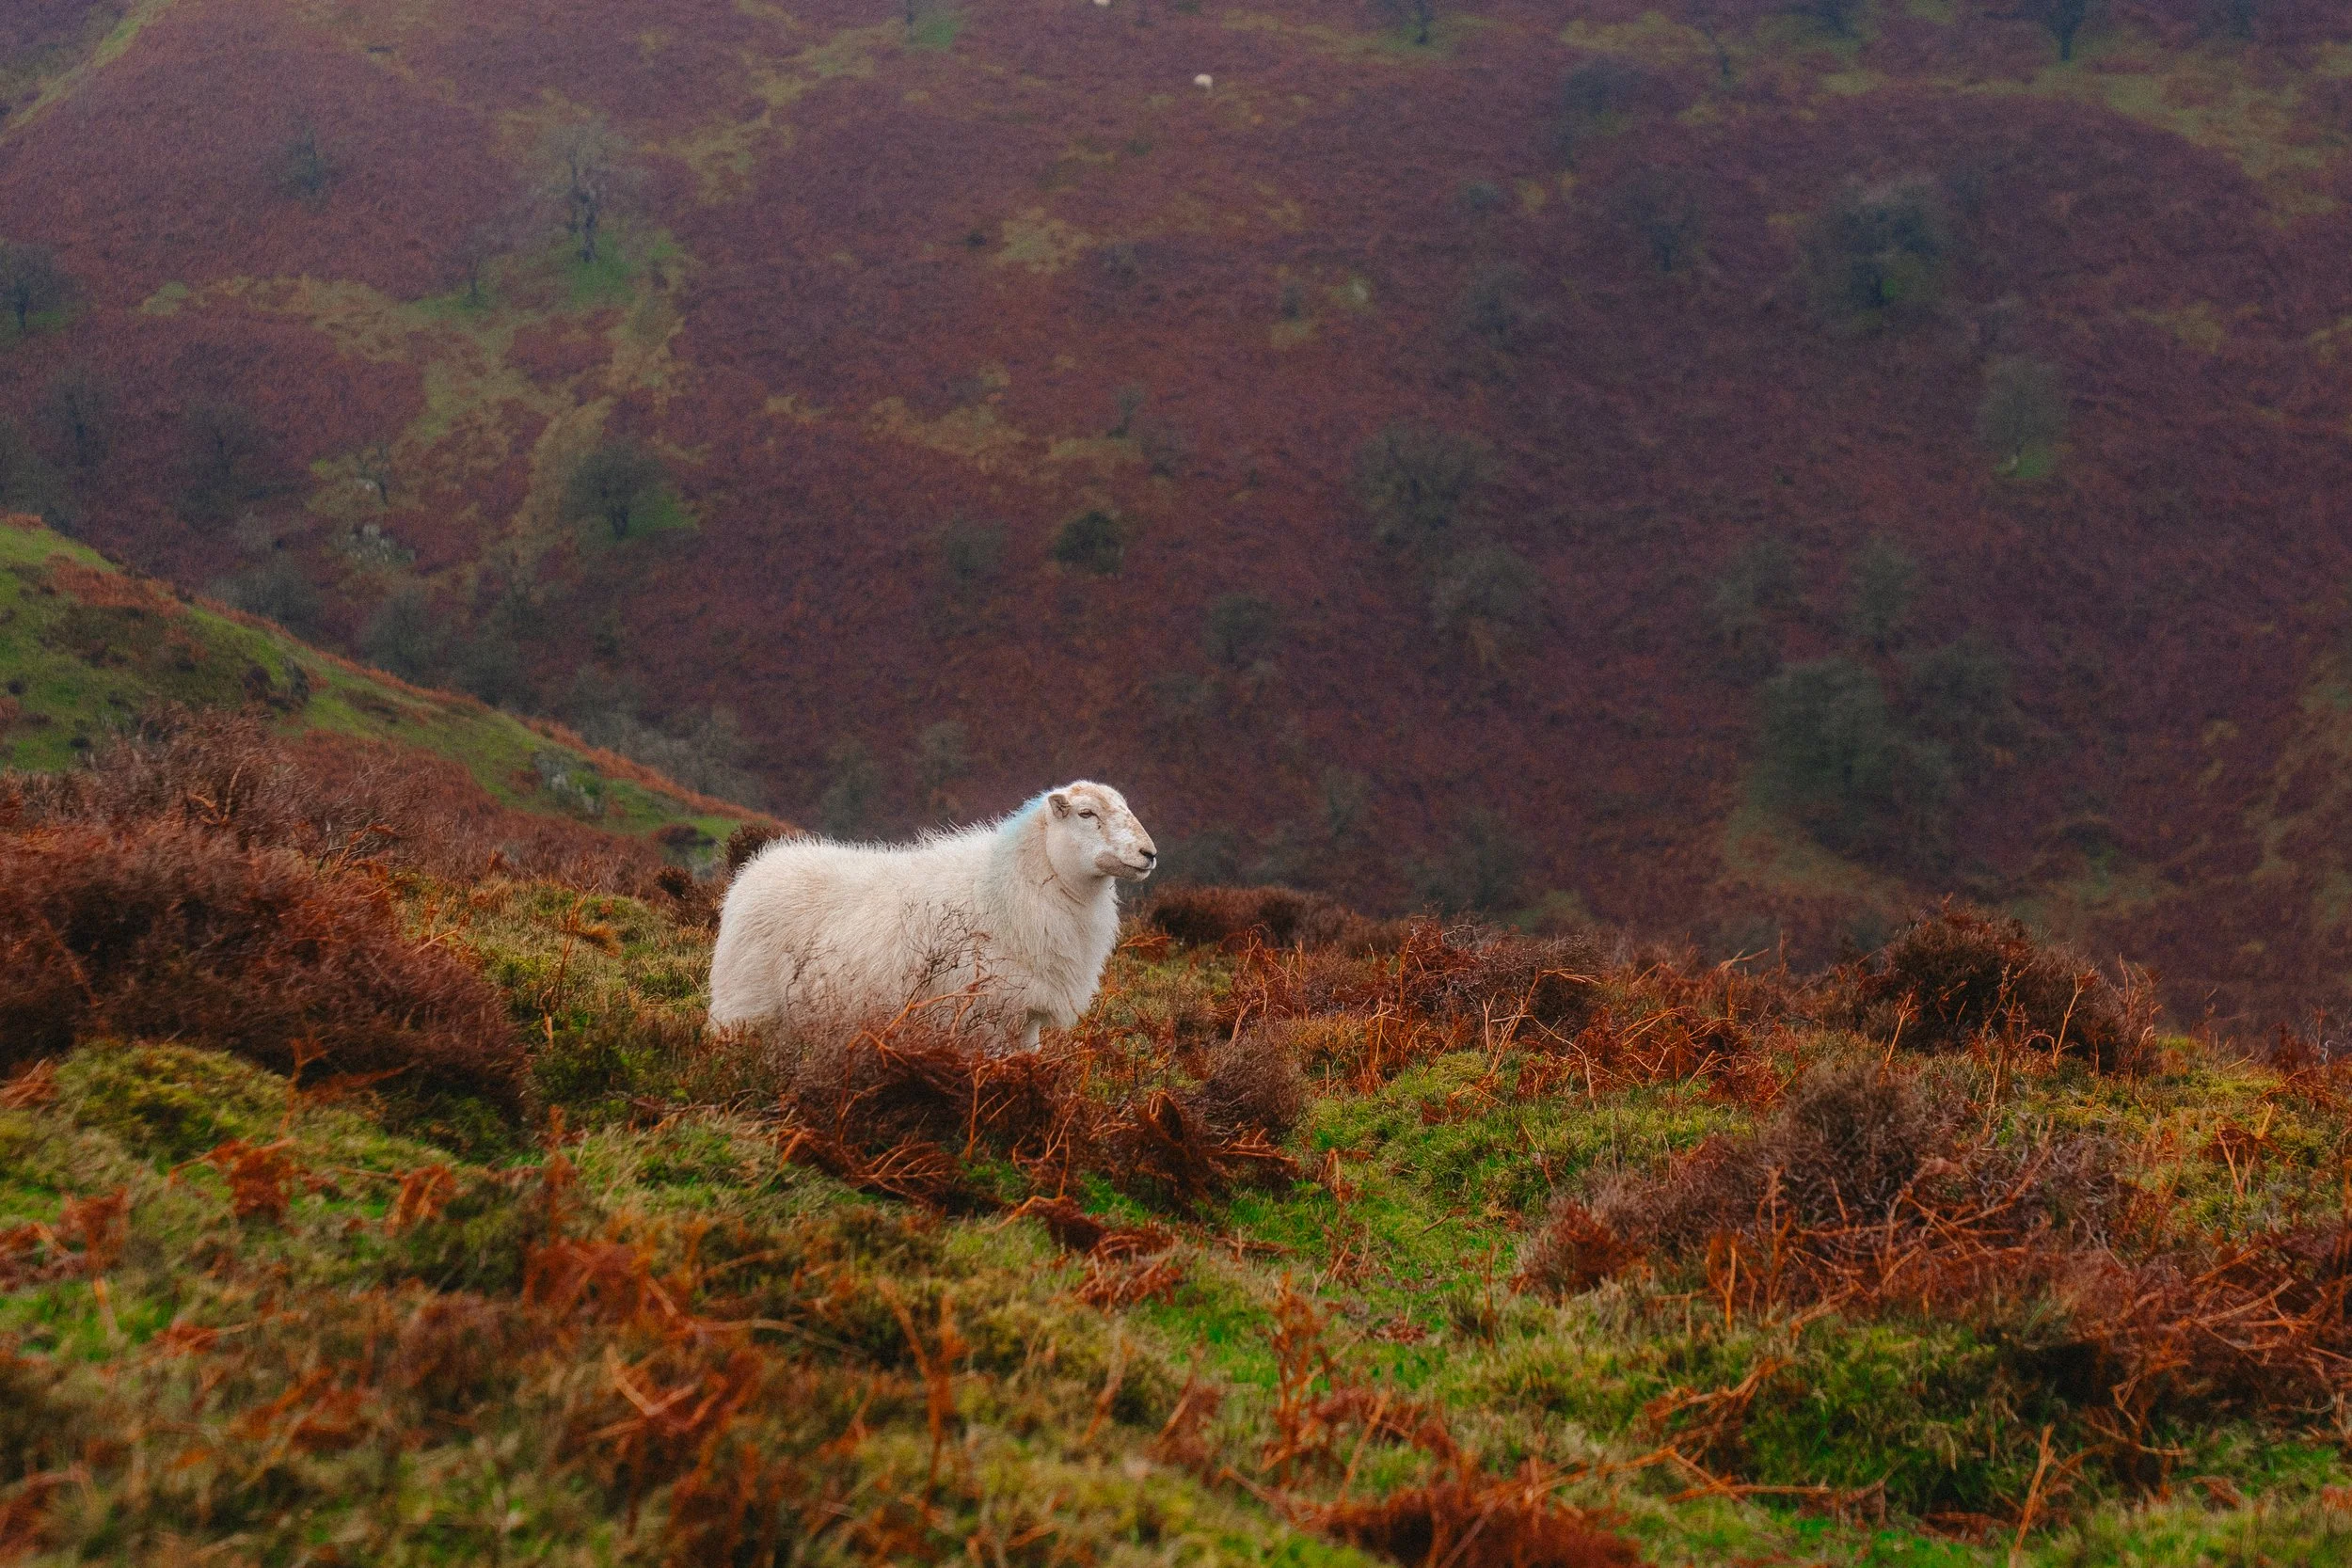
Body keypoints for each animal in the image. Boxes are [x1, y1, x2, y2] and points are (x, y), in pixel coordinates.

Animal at [708, 781, 1157, 1052]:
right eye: (1086, 814)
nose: (1149, 854)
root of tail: (758, 867)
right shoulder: (984, 1014)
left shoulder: (1025, 1017)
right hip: (745, 1005)